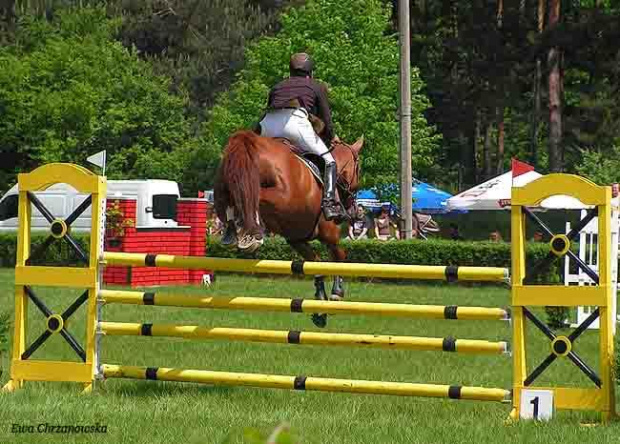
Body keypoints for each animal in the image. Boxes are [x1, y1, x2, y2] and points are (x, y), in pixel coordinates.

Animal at [214, 130, 364, 328]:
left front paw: (320, 308)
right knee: (253, 196)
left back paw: (235, 234)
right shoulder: (328, 232)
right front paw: (336, 293)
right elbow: (338, 256)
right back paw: (253, 234)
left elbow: (316, 263)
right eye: (358, 168)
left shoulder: (296, 238)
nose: (355, 210)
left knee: (232, 198)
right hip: (281, 197)